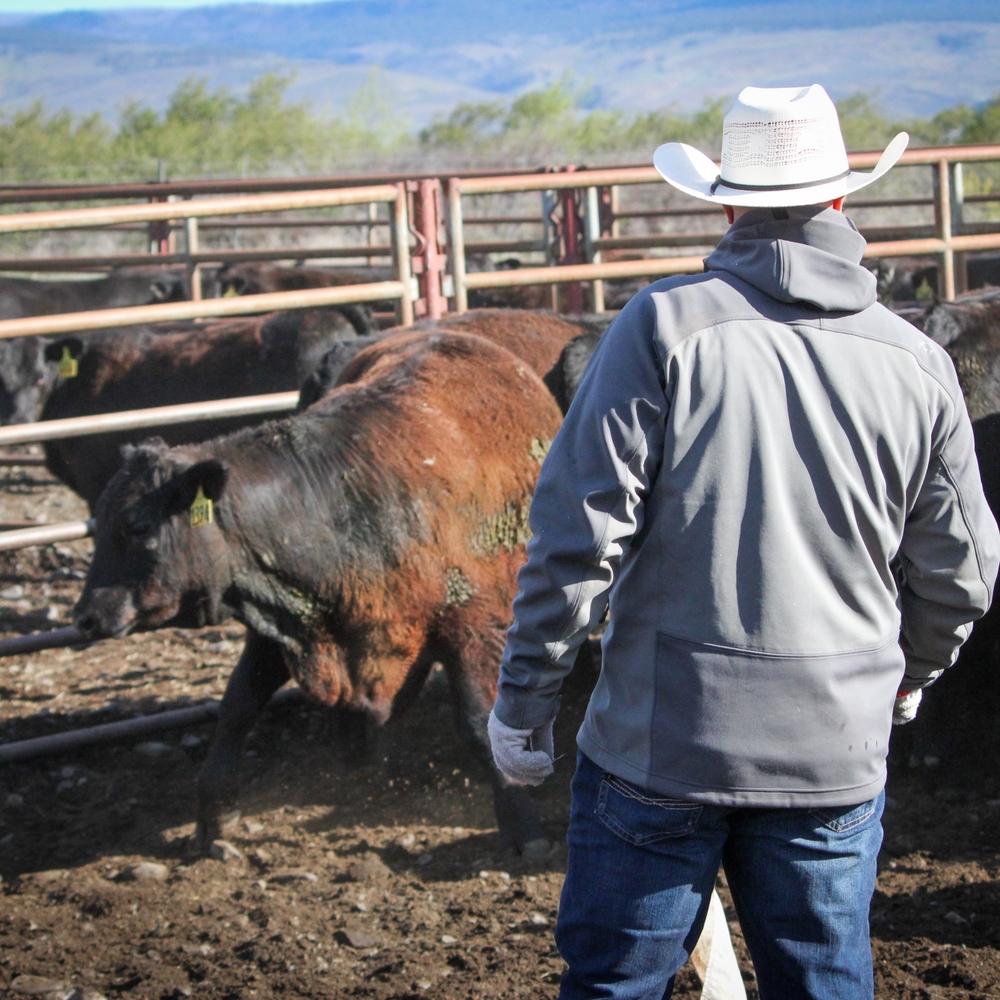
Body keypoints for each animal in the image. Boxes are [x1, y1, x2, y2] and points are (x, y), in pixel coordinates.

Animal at [73, 327, 565, 857]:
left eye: (138, 526)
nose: (85, 616)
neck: (343, 510)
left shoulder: (472, 626)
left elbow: (480, 724)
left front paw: (523, 826)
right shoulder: (277, 624)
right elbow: (236, 708)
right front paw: (211, 819)